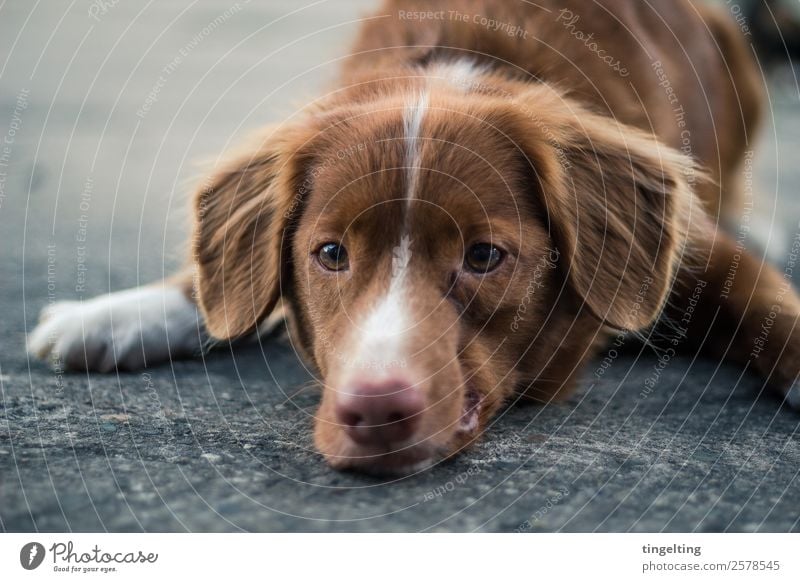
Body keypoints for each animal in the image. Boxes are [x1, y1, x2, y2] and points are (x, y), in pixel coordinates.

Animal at [26, 0, 800, 474]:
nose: (372, 409)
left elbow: (767, 301)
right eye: (330, 254)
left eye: (483, 256)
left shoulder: (690, 249)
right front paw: (111, 315)